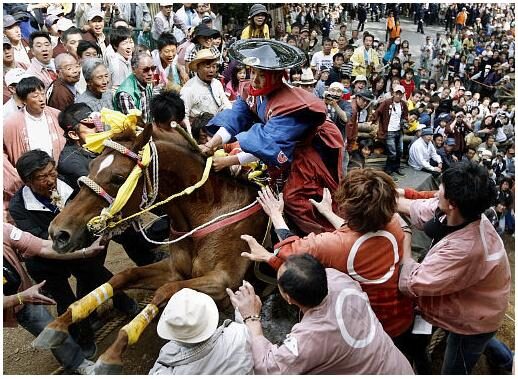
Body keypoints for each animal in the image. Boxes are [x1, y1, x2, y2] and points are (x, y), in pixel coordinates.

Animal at [33, 122, 268, 374]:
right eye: (91, 166)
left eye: (118, 178)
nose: (58, 233)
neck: (209, 213)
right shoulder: (174, 270)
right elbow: (124, 276)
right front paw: (59, 324)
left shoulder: (223, 282)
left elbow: (165, 291)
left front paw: (111, 355)